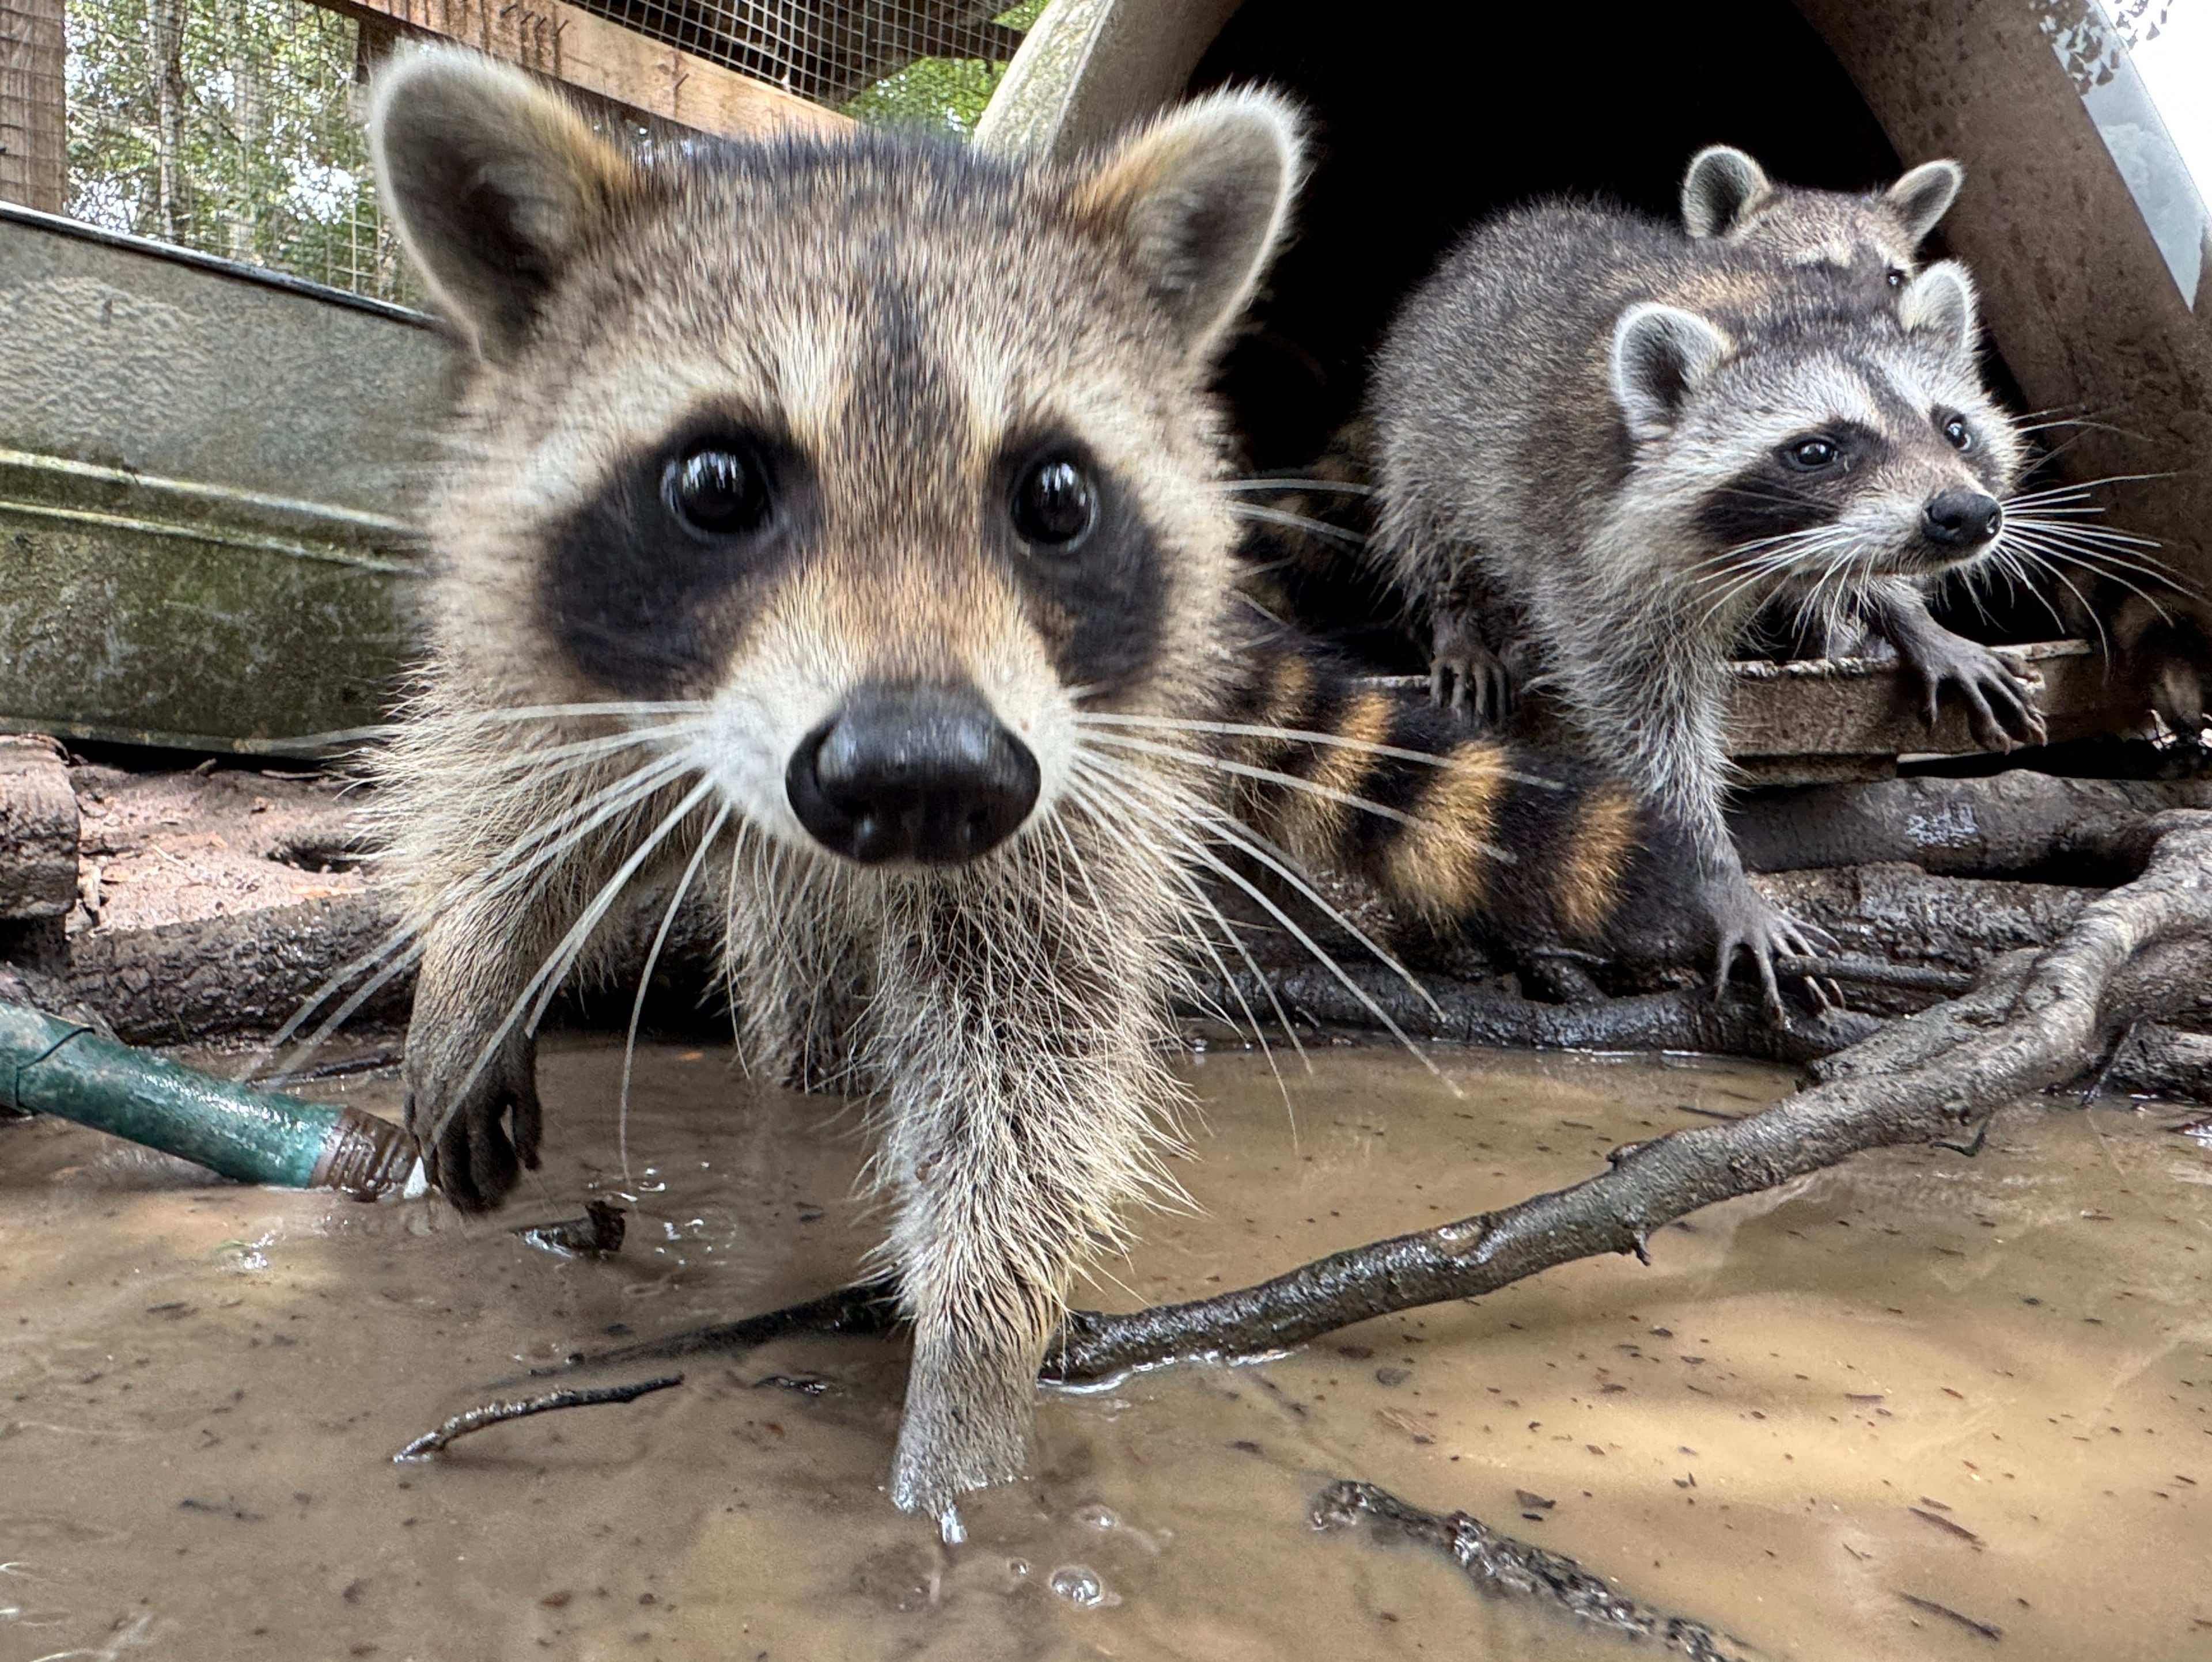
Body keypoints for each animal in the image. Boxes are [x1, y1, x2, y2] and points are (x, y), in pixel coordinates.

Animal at [363, 50, 1696, 1529]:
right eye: (715, 484)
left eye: (1056, 496)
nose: (916, 779)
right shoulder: (541, 626)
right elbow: (496, 777)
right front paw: (474, 967)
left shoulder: (1064, 773)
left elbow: (1031, 1039)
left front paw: (975, 1366)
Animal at [1371, 201, 2039, 997]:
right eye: (1817, 451)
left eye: (1955, 429)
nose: (1966, 515)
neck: (1777, 315)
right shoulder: (1593, 553)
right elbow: (1648, 722)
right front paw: (1711, 867)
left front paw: (1909, 616)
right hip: (1427, 418)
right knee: (1429, 517)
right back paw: (1458, 619)